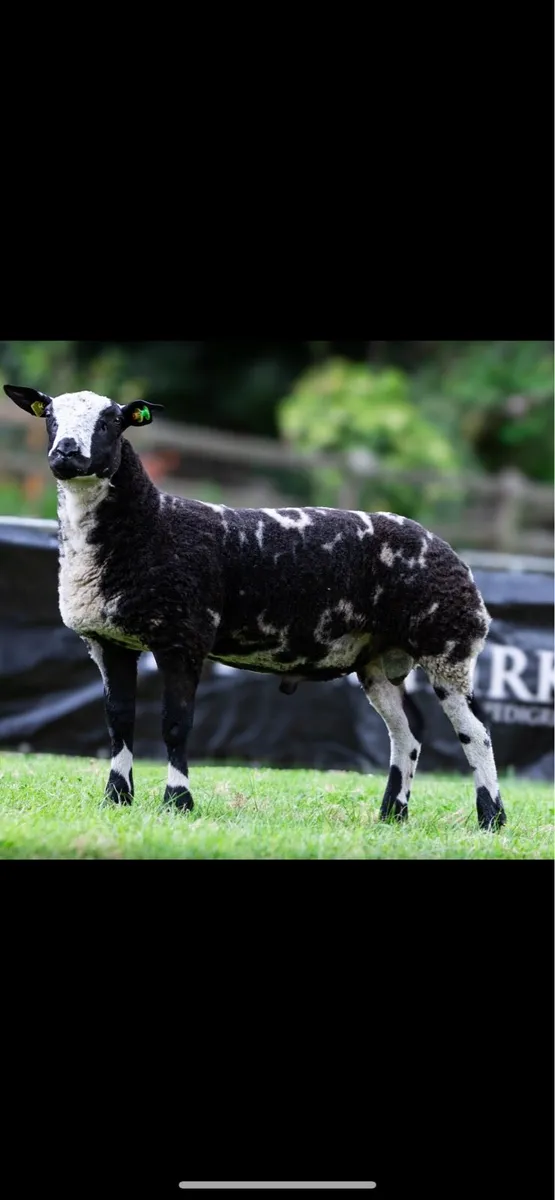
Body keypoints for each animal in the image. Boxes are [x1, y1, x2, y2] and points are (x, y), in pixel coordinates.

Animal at [3, 384, 506, 831]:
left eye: (110, 421)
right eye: (49, 418)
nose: (66, 452)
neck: (152, 524)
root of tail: (454, 556)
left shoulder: (183, 637)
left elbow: (175, 725)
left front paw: (178, 802)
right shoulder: (109, 642)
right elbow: (118, 722)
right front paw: (116, 799)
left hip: (447, 645)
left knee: (475, 734)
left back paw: (491, 819)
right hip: (378, 662)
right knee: (406, 737)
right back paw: (392, 816)